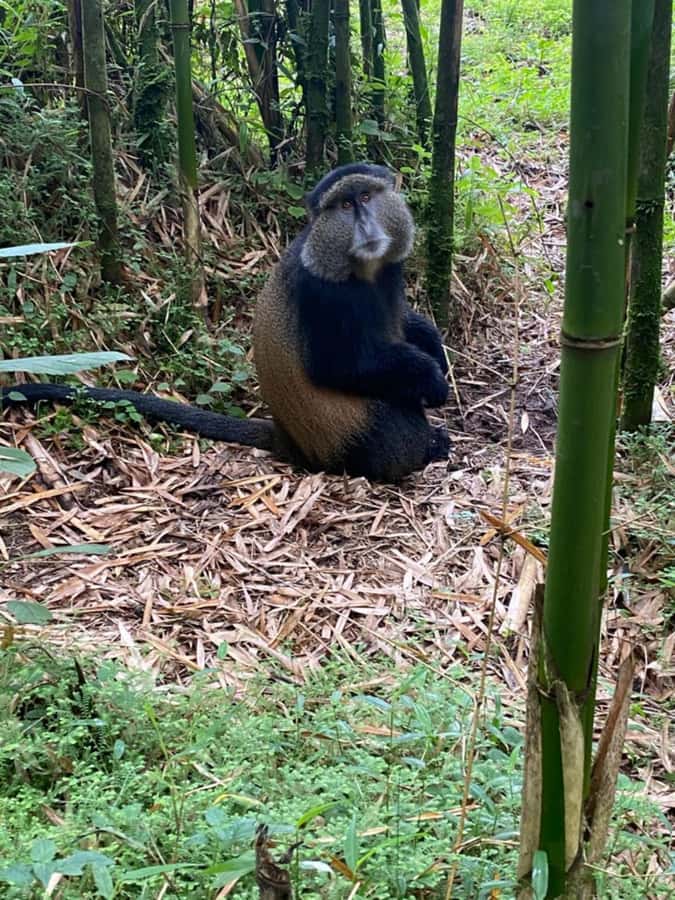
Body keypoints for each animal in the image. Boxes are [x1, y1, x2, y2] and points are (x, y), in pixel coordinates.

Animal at [1, 163, 450, 482]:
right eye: (344, 206)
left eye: (368, 197)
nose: (365, 224)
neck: (363, 270)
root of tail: (290, 441)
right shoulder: (322, 293)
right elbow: (339, 367)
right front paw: (431, 378)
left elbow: (402, 324)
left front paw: (432, 344)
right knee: (396, 424)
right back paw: (425, 446)